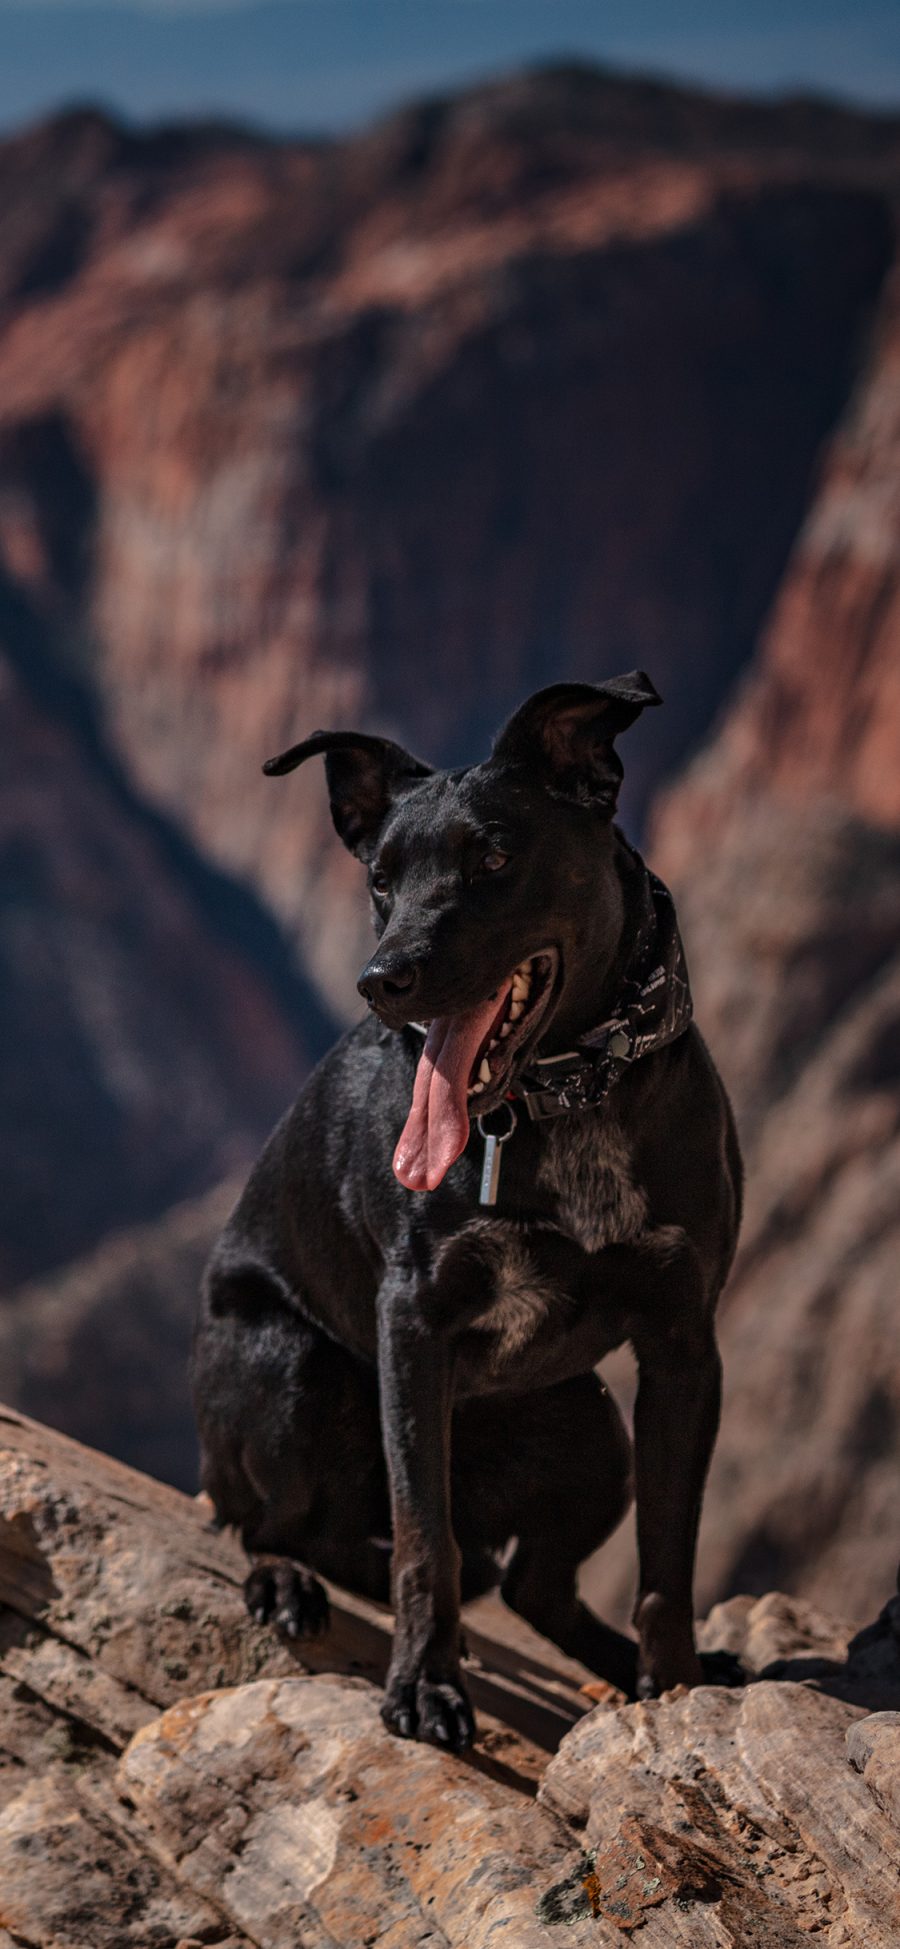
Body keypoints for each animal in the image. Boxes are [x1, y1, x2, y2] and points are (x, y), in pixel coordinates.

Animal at [193, 674, 740, 1754]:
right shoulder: (414, 1326)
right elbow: (425, 1538)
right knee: (269, 1519)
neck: (571, 1092)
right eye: (380, 879)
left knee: (530, 1582)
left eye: (492, 855)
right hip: (288, 1364)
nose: (382, 979)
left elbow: (668, 1565)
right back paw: (286, 1581)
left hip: (589, 1428)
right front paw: (424, 1686)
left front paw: (677, 1691)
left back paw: (614, 1660)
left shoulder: (683, 1347)